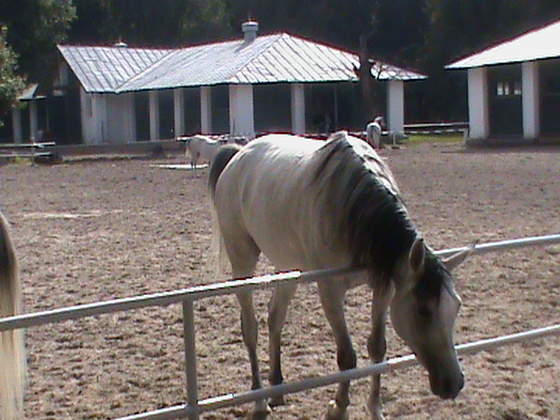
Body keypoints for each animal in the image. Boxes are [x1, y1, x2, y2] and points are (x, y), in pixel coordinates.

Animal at [209, 131, 471, 420]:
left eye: (456, 306)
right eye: (423, 310)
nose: (453, 383)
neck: (353, 207)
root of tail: (238, 156)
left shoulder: (385, 287)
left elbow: (377, 347)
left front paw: (375, 408)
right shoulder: (331, 290)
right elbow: (347, 356)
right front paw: (339, 406)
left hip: (287, 267)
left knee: (275, 317)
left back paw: (276, 388)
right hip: (242, 262)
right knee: (250, 328)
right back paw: (259, 400)